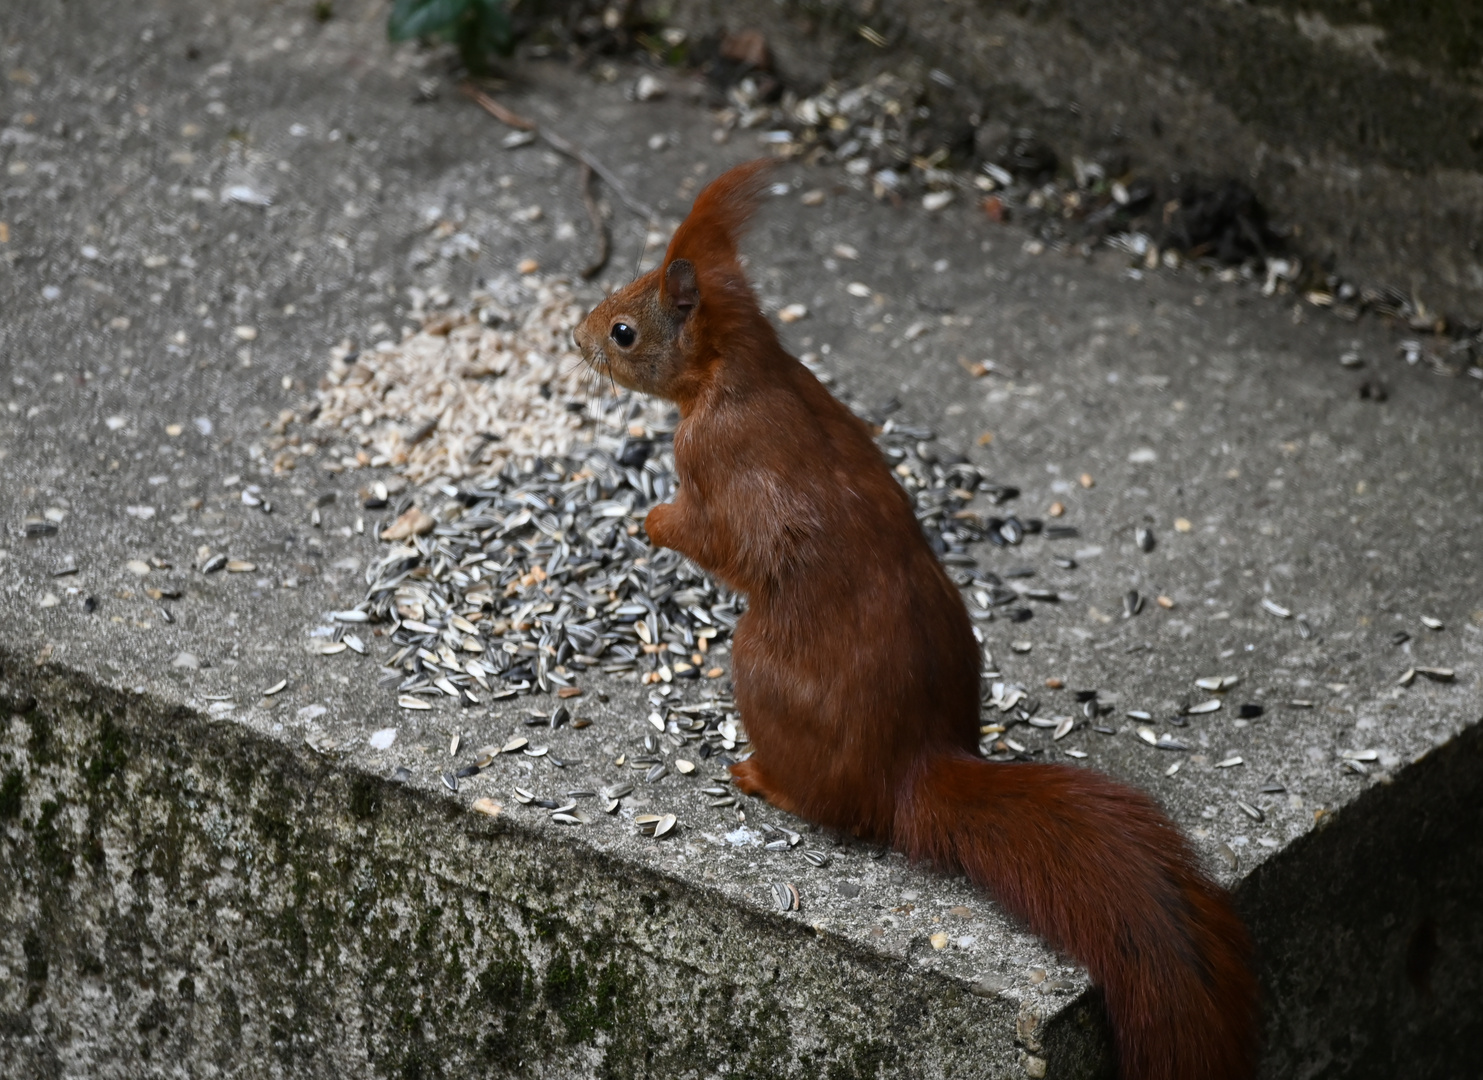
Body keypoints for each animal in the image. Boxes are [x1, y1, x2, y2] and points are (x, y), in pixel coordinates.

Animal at [572, 162, 1257, 1080]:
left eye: (623, 330)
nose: (573, 337)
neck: (741, 371)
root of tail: (911, 769)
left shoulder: (720, 463)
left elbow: (722, 540)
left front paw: (649, 520)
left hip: (760, 670)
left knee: (830, 805)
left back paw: (760, 778)